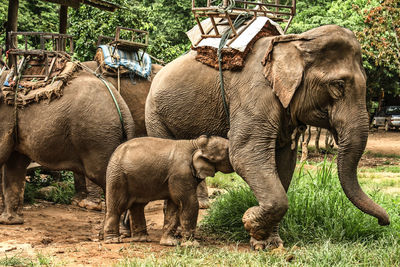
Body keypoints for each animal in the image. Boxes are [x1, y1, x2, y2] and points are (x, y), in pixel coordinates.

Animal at [103, 136, 233, 247]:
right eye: (228, 151)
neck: (195, 143)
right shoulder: (181, 174)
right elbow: (189, 203)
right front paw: (192, 245)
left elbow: (173, 206)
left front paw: (170, 243)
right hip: (117, 176)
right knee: (117, 207)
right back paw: (113, 240)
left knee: (137, 206)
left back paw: (142, 239)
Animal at [145, 24, 390, 250]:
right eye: (338, 85)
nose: (384, 223)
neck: (296, 42)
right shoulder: (254, 95)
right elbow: (244, 153)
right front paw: (249, 221)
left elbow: (285, 162)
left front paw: (268, 243)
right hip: (155, 115)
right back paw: (175, 238)